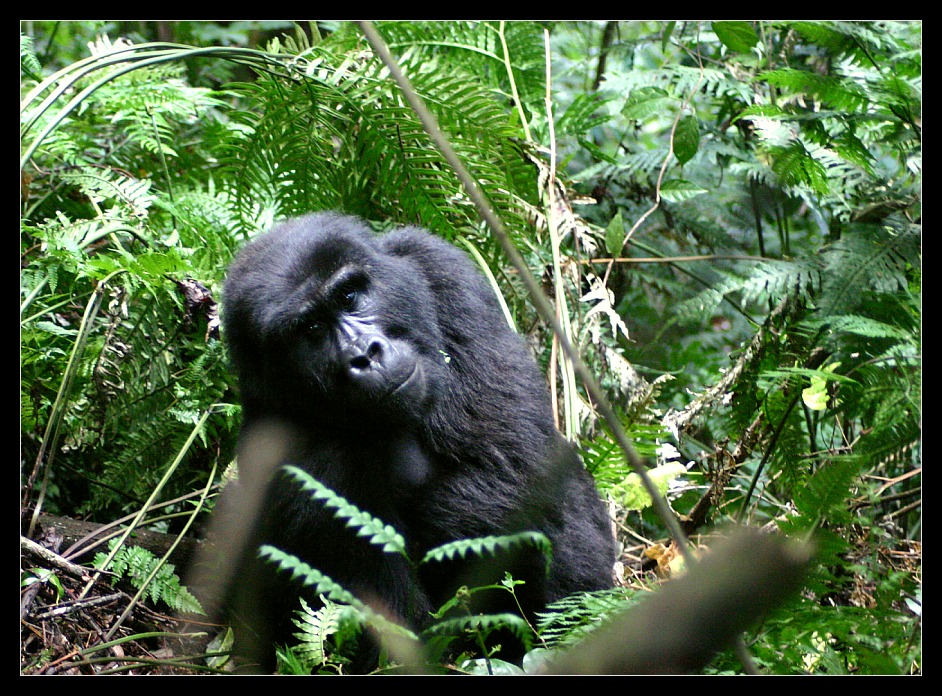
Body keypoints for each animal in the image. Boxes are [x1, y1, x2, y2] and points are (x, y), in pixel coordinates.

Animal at [221, 215, 620, 672]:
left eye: (349, 295)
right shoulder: (274, 437)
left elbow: (514, 469)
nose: (366, 354)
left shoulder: (444, 270)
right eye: (312, 329)